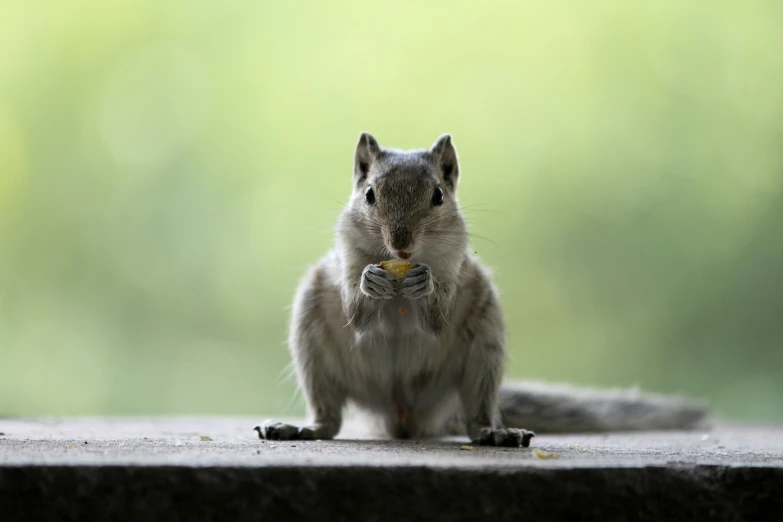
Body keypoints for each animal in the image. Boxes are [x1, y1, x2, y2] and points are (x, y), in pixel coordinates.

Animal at [256, 132, 712, 444]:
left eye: (438, 195)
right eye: (369, 193)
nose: (401, 244)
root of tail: (404, 417)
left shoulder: (455, 266)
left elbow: (438, 316)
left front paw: (426, 286)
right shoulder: (347, 259)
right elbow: (355, 312)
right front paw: (370, 282)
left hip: (483, 353)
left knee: (476, 419)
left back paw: (495, 433)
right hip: (314, 347)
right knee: (329, 420)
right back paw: (301, 428)